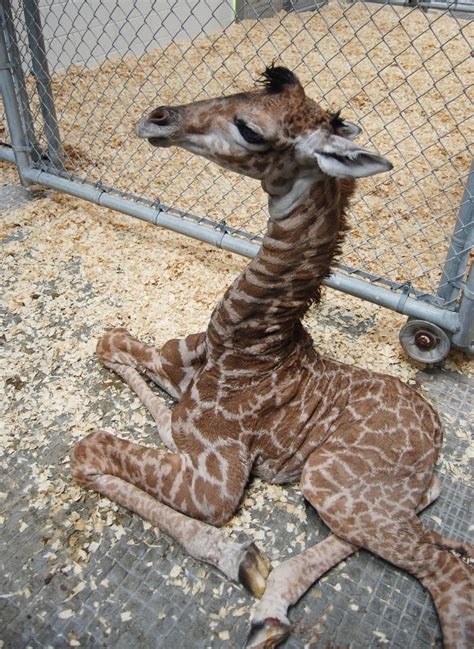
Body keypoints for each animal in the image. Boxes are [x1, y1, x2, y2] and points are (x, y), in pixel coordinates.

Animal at [71, 64, 474, 644]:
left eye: (251, 130)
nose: (157, 117)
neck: (244, 344)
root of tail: (437, 432)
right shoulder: (171, 366)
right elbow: (111, 343)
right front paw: (168, 423)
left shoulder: (215, 484)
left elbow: (88, 449)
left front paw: (239, 556)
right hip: (363, 493)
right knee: (424, 508)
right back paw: (272, 609)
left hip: (328, 477)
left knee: (446, 568)